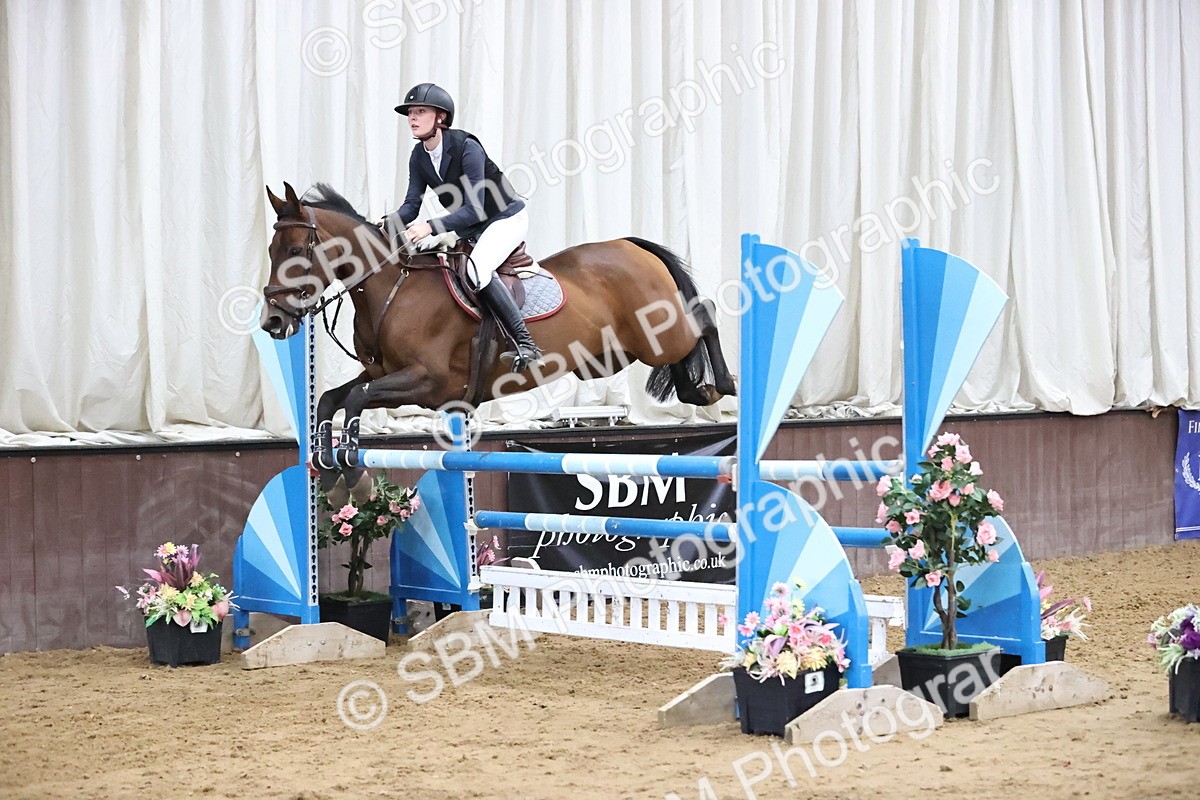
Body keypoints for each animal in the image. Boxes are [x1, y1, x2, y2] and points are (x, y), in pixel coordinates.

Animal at [261, 182, 736, 495]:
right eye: (271, 251)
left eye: (295, 252)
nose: (272, 322)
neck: (393, 289)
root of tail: (630, 245)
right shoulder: (383, 373)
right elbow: (331, 400)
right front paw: (328, 468)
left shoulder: (427, 382)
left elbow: (357, 400)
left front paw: (354, 472)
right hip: (618, 353)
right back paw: (697, 388)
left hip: (660, 334)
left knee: (705, 314)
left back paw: (719, 386)